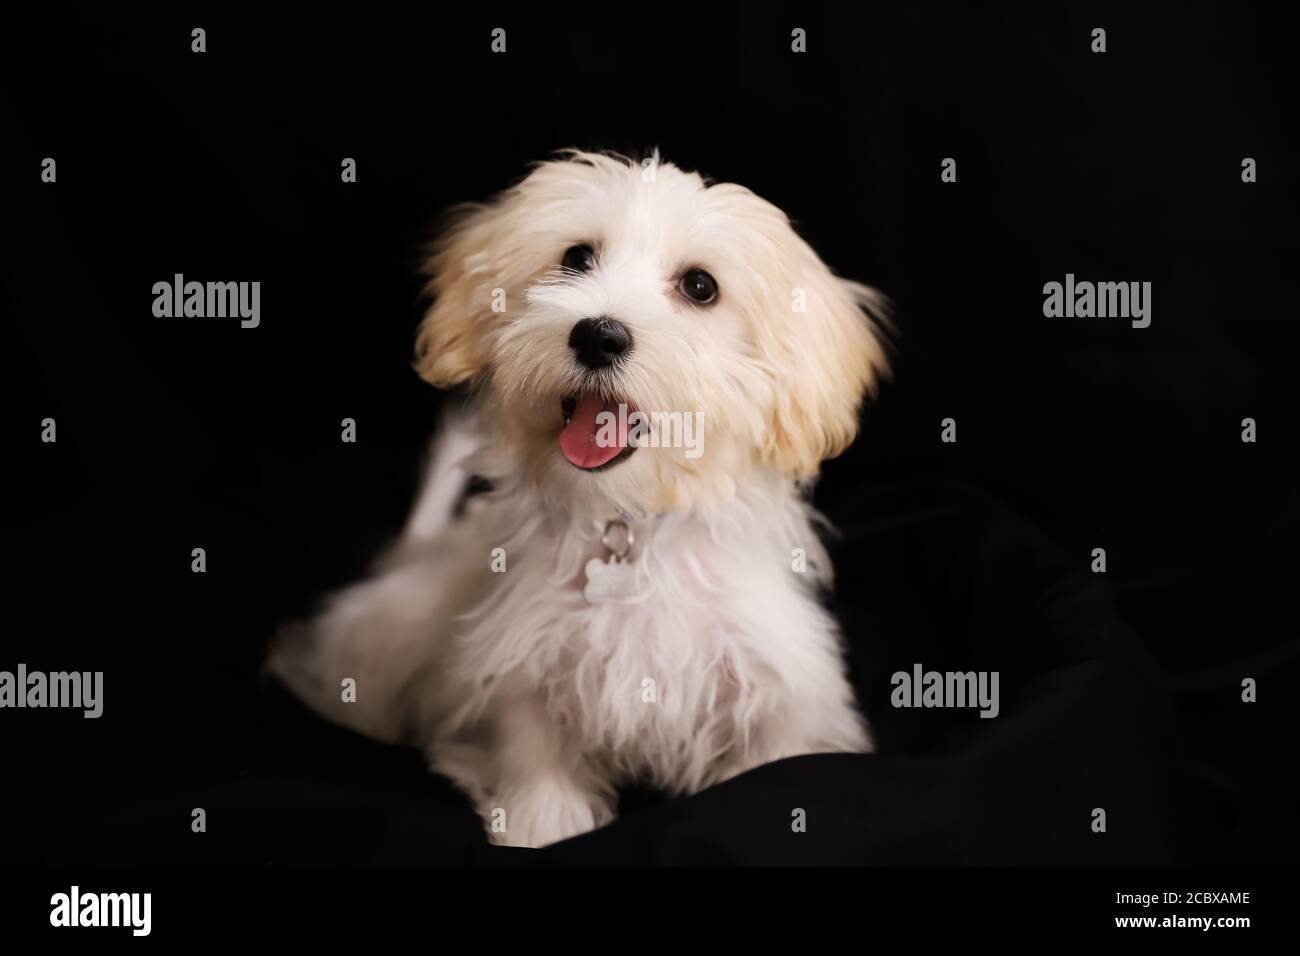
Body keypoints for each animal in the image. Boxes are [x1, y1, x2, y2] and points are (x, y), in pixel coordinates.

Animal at [267, 153, 889, 848]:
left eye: (700, 287)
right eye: (576, 257)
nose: (598, 336)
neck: (626, 525)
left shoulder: (776, 679)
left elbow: (775, 753)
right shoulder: (521, 659)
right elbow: (533, 752)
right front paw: (542, 823)